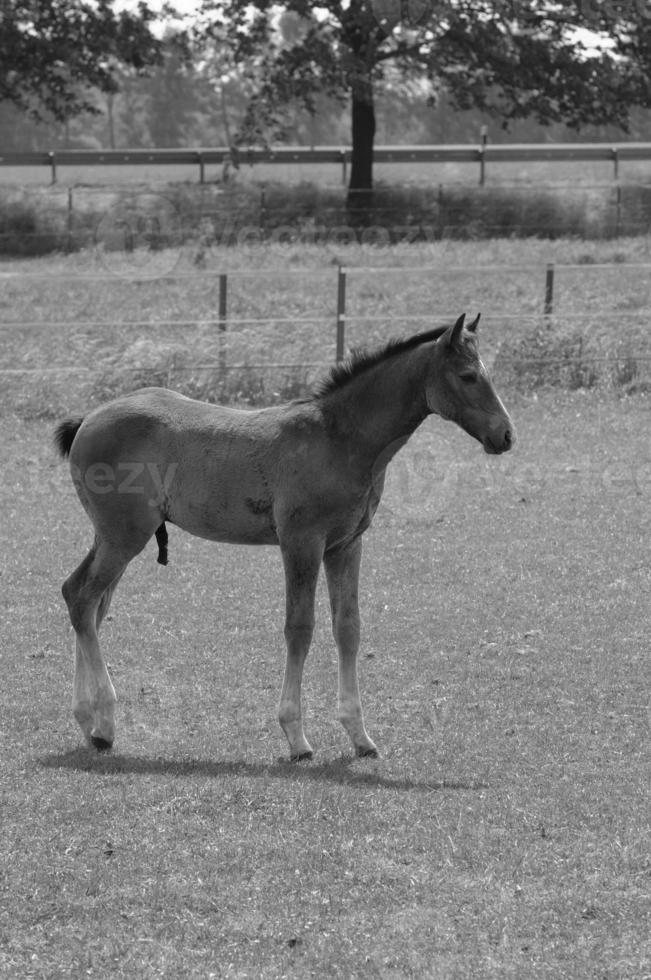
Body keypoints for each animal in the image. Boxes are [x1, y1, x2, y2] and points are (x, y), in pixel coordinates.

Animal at [54, 314, 516, 756]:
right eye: (468, 376)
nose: (507, 435)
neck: (339, 439)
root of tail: (87, 419)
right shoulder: (301, 543)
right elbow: (300, 627)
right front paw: (296, 737)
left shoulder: (346, 546)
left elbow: (348, 627)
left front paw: (359, 735)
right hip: (124, 536)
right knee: (83, 599)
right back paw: (105, 724)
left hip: (112, 537)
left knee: (85, 601)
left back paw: (87, 720)